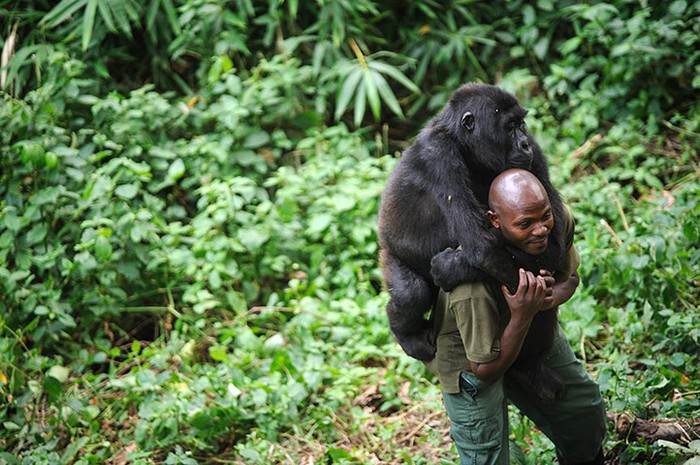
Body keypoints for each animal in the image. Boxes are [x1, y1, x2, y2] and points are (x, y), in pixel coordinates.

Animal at [380, 82, 572, 398]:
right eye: (509, 127)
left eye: (521, 125)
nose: (524, 144)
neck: (464, 145)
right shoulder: (438, 155)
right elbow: (483, 248)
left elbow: (554, 244)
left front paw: (450, 268)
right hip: (389, 252)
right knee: (410, 292)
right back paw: (407, 335)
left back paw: (530, 369)